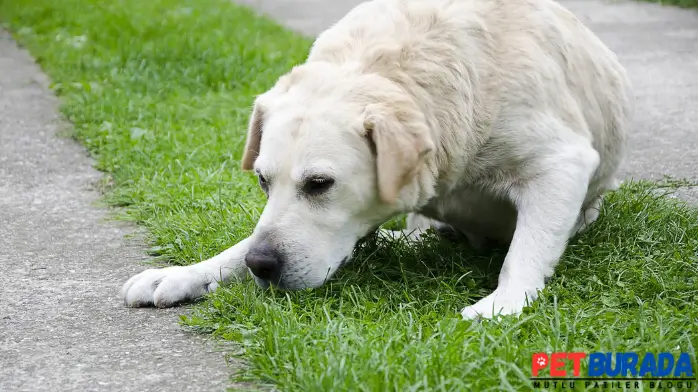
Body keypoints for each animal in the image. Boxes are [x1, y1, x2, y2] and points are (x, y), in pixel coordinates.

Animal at [119, 0, 632, 318]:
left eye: (319, 184)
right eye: (263, 181)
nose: (262, 266)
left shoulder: (562, 162)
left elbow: (526, 249)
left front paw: (503, 303)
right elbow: (239, 245)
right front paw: (186, 273)